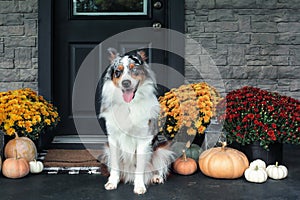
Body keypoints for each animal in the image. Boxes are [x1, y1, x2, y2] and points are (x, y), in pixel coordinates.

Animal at [99, 48, 173, 194]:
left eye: (134, 69)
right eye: (118, 72)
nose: (125, 83)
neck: (129, 105)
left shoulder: (143, 139)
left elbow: (140, 166)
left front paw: (139, 186)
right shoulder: (112, 139)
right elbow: (115, 165)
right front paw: (112, 182)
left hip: (163, 149)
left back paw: (156, 177)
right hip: (107, 148)